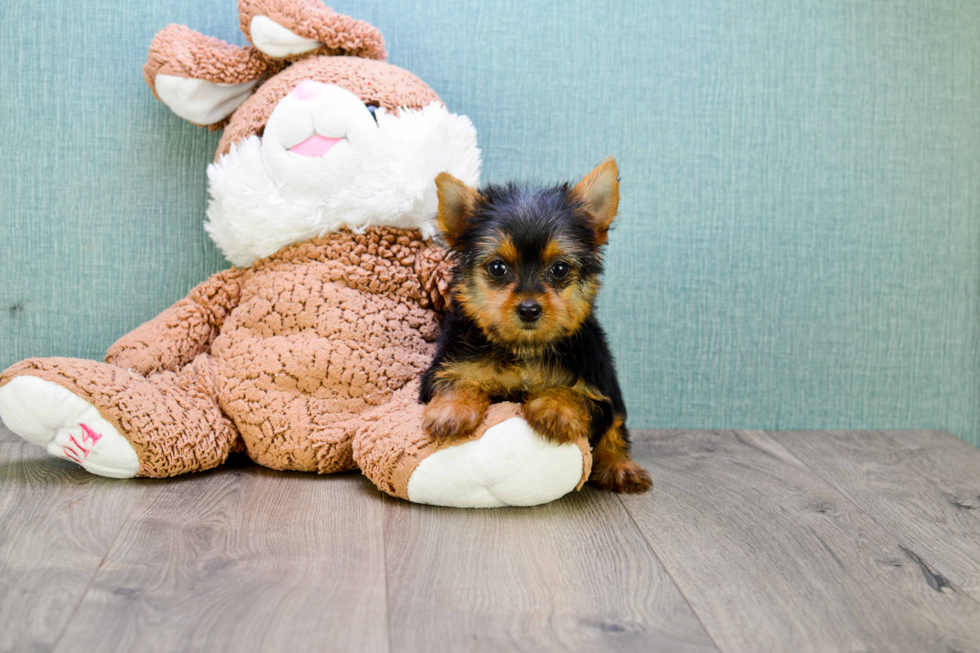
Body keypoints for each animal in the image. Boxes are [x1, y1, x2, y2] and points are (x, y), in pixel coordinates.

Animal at [420, 159, 652, 494]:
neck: (524, 349)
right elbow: (457, 380)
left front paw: (554, 407)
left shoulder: (596, 386)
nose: (529, 309)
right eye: (497, 267)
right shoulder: (444, 367)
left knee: (616, 429)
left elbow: (580, 397)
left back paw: (620, 467)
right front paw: (451, 411)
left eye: (560, 269)